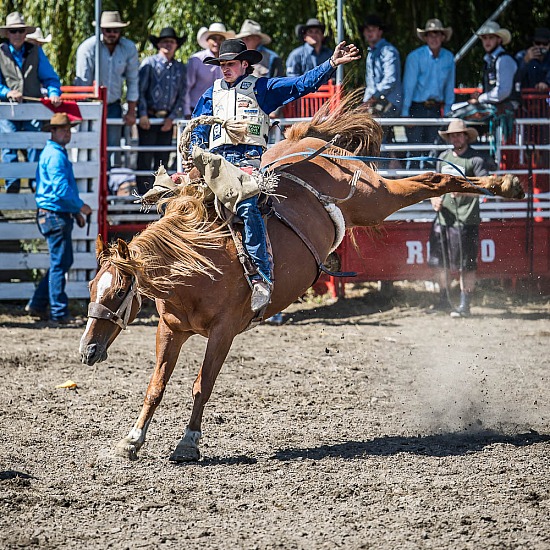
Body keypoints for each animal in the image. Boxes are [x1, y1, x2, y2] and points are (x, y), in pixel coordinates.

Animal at [78, 102, 528, 462]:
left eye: (119, 291)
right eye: (91, 288)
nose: (86, 352)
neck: (196, 262)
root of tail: (312, 145)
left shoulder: (224, 332)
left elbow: (201, 385)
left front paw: (188, 443)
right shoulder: (170, 328)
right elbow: (156, 386)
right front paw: (131, 441)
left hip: (374, 196)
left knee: (435, 180)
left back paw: (507, 184)